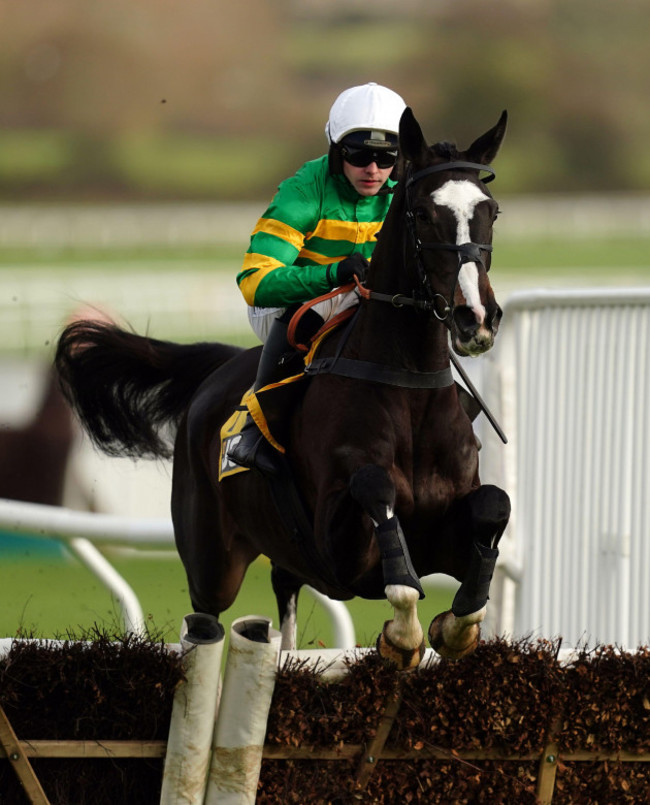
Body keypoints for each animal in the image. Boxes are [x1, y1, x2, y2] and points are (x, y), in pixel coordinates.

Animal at [55, 110, 508, 668]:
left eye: (490, 211)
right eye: (423, 214)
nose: (475, 318)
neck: (410, 391)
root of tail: (223, 365)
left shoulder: (441, 533)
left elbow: (493, 507)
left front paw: (456, 625)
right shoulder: (339, 550)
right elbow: (377, 495)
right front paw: (403, 635)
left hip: (283, 557)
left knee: (282, 601)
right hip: (212, 558)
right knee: (203, 621)